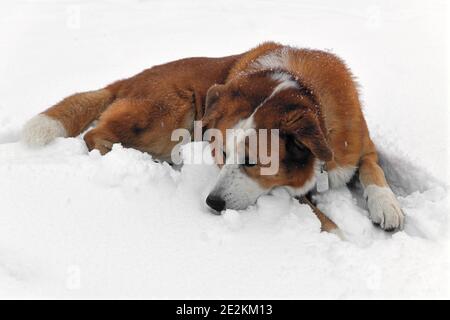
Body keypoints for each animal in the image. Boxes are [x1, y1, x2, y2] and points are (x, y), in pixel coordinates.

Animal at [22, 42, 406, 232]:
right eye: (219, 154)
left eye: (252, 161)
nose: (213, 203)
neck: (303, 91)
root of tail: (126, 81)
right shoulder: (292, 193)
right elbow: (326, 221)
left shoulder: (362, 147)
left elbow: (374, 171)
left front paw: (387, 206)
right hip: (171, 109)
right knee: (96, 137)